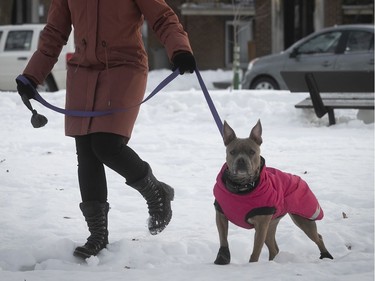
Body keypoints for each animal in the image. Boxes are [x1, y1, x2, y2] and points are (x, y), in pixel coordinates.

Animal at [213, 119, 334, 264]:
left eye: (252, 152)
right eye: (232, 152)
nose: (241, 160)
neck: (242, 188)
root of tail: (298, 178)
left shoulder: (261, 225)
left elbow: (255, 251)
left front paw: (252, 265)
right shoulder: (221, 216)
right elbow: (223, 238)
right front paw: (222, 257)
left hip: (302, 220)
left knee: (318, 237)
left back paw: (326, 256)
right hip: (271, 225)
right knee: (274, 249)